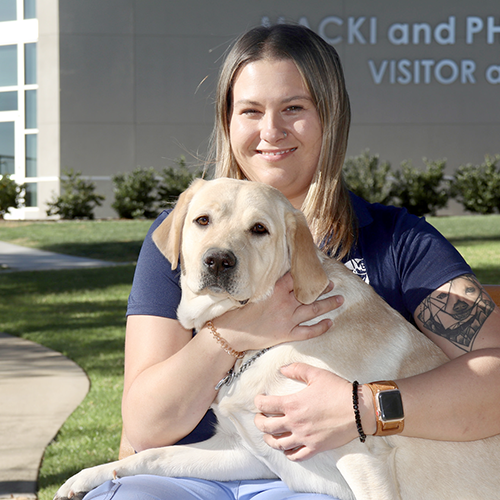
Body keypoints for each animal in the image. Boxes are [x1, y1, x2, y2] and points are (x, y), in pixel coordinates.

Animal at [55, 178, 500, 498]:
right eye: (202, 220)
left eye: (259, 229)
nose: (218, 260)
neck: (261, 348)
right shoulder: (244, 451)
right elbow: (154, 455)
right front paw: (89, 476)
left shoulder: (364, 457)